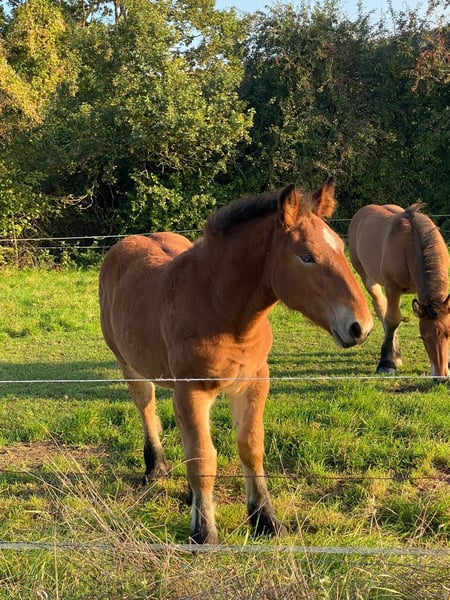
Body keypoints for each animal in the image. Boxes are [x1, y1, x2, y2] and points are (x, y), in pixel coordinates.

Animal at [99, 178, 373, 544]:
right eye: (307, 257)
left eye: (342, 249)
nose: (361, 327)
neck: (221, 311)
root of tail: (126, 243)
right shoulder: (192, 392)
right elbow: (204, 459)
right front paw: (204, 533)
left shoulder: (254, 384)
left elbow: (249, 447)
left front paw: (265, 519)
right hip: (130, 366)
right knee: (146, 407)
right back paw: (154, 467)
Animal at [348, 203, 450, 381]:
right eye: (423, 337)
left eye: (449, 334)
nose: (441, 378)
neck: (410, 246)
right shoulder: (392, 288)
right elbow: (393, 319)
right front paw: (387, 363)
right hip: (368, 278)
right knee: (381, 308)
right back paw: (393, 354)